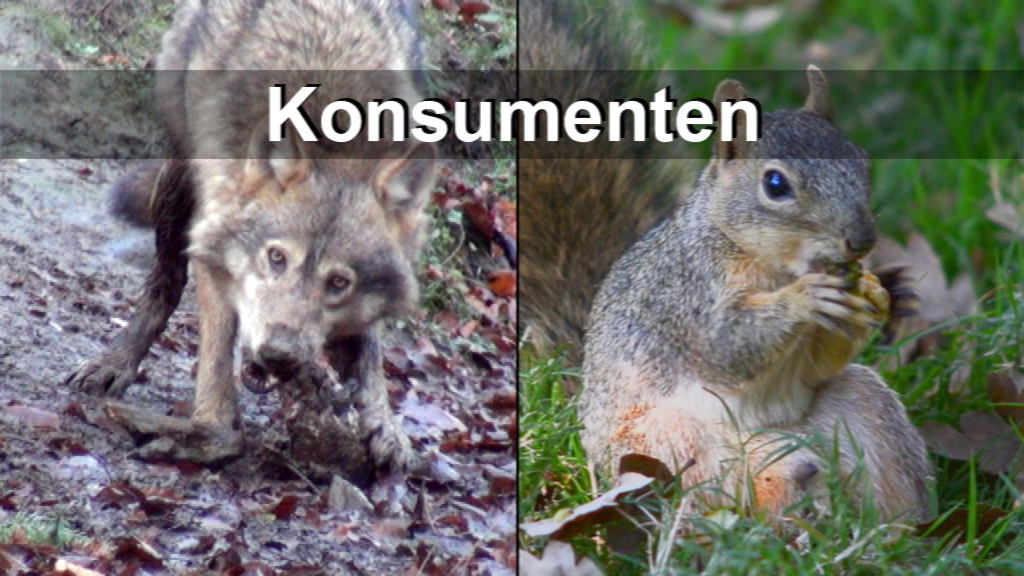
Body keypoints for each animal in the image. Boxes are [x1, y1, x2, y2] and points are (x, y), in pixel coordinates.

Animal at [66, 0, 436, 477]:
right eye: (276, 258)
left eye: (339, 283)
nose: (278, 353)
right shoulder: (211, 251)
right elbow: (217, 359)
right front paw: (209, 433)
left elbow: (370, 344)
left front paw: (384, 423)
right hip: (177, 185)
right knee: (164, 284)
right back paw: (116, 363)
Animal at [521, 0, 932, 521]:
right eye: (775, 185)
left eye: (862, 162)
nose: (861, 240)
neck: (772, 264)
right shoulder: (685, 295)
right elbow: (725, 349)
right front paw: (806, 298)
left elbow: (817, 365)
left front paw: (888, 293)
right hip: (664, 440)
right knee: (721, 489)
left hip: (869, 410)